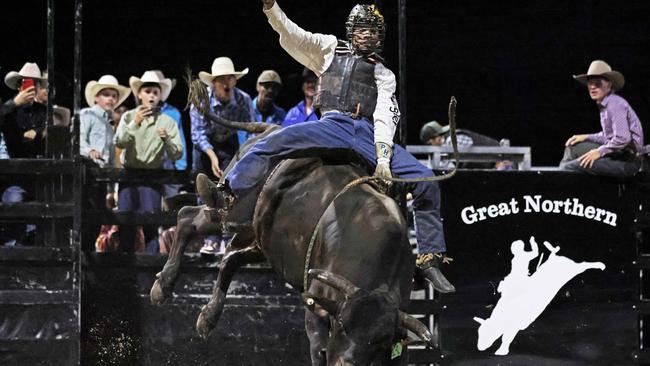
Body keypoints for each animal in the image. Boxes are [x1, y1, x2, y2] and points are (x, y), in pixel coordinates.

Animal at [147, 115, 430, 366]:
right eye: (342, 323)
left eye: (380, 342)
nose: (345, 363)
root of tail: (270, 129)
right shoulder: (315, 307)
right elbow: (318, 350)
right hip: (232, 215)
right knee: (187, 218)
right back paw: (163, 284)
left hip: (260, 240)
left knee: (229, 257)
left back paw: (208, 316)